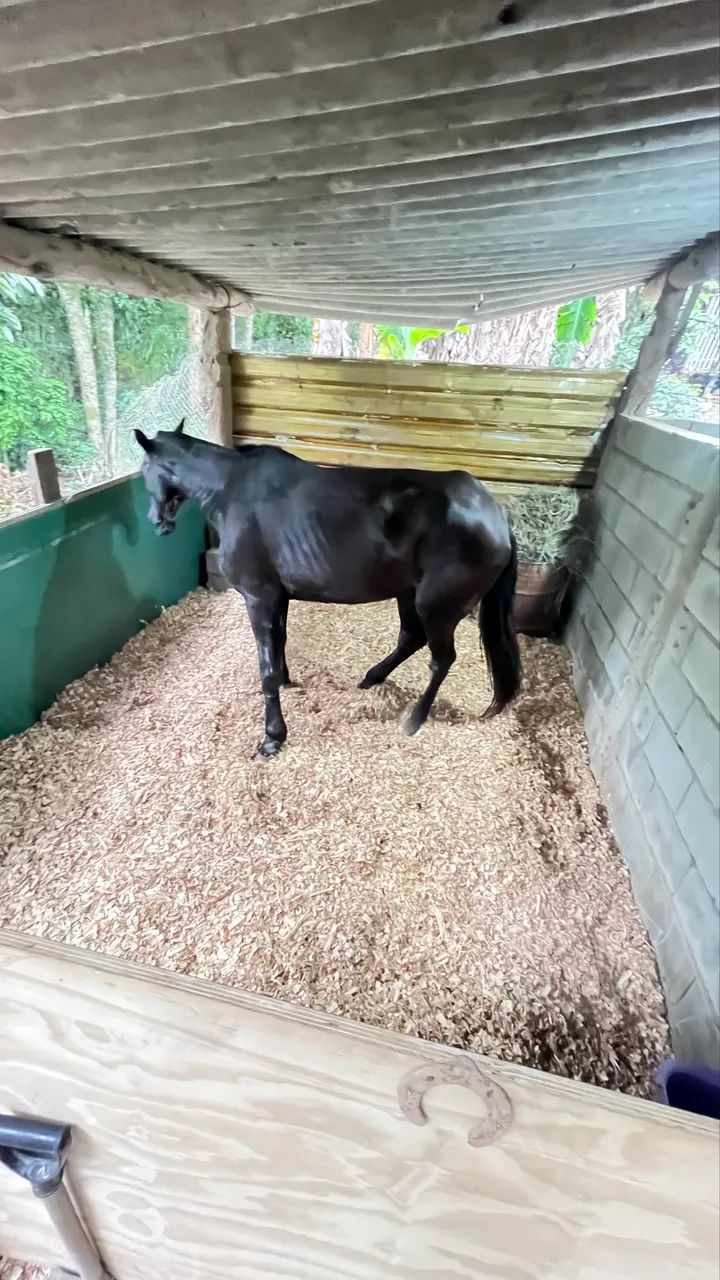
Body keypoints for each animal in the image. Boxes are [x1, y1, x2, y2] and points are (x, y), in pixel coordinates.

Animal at [135, 421, 521, 757]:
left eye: (144, 468)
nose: (157, 522)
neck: (232, 491)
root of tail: (496, 516)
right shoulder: (278, 597)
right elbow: (280, 643)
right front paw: (288, 682)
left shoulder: (259, 597)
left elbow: (266, 670)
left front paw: (272, 737)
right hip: (409, 594)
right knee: (411, 638)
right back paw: (371, 679)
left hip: (437, 606)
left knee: (441, 659)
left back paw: (414, 719)